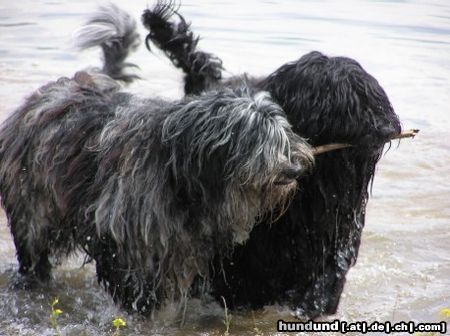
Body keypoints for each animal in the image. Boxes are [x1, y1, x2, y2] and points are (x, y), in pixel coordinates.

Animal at [0, 3, 312, 316]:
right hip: (32, 211)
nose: (295, 169)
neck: (180, 170)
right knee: (33, 250)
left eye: (284, 133)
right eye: (259, 136)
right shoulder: (120, 234)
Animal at [142, 1, 402, 318]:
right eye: (338, 103)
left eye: (369, 97)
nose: (385, 128)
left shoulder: (334, 243)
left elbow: (325, 280)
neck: (312, 193)